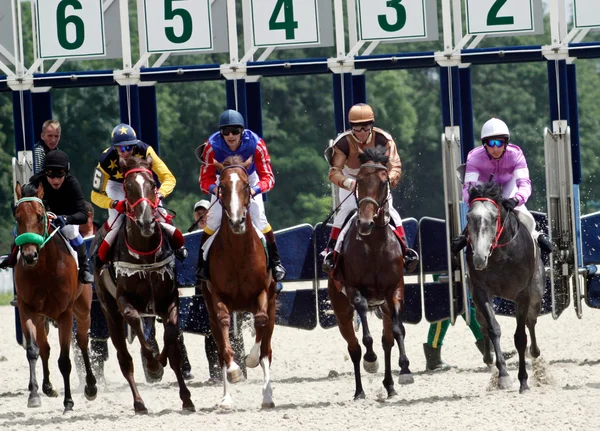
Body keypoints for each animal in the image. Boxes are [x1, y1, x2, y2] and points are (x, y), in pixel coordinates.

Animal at [13, 183, 96, 416]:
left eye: (40, 217)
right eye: (17, 217)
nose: (29, 255)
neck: (42, 268)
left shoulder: (65, 314)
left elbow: (65, 360)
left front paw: (68, 403)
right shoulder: (27, 310)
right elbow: (33, 351)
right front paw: (34, 396)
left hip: (82, 310)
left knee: (83, 342)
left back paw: (91, 387)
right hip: (42, 318)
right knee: (45, 348)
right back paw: (47, 387)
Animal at [93, 156, 195, 416]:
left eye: (151, 183)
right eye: (128, 186)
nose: (147, 221)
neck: (146, 253)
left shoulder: (169, 300)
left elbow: (172, 342)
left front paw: (186, 398)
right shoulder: (125, 303)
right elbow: (137, 326)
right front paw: (152, 365)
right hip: (110, 313)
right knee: (124, 359)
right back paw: (139, 402)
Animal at [202, 154, 276, 408]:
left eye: (245, 185)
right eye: (222, 186)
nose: (236, 221)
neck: (238, 252)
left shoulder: (263, 293)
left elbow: (261, 323)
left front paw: (250, 359)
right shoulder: (217, 297)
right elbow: (225, 330)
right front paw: (235, 369)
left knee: (267, 350)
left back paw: (267, 396)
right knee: (220, 351)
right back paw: (226, 398)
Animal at [328, 148, 412, 402]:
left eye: (384, 182)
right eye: (359, 182)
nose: (365, 222)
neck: (374, 244)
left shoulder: (394, 291)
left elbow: (398, 331)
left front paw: (405, 370)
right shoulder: (354, 289)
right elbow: (364, 330)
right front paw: (371, 359)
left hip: (383, 307)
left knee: (387, 342)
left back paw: (390, 385)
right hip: (341, 311)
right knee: (354, 348)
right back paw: (359, 390)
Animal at [466, 182, 548, 394]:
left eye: (495, 218)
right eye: (469, 217)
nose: (479, 258)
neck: (501, 255)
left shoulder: (523, 294)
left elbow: (520, 336)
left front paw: (524, 381)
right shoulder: (481, 291)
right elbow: (493, 328)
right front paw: (503, 376)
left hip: (536, 295)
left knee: (531, 322)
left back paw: (534, 353)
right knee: (482, 323)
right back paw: (488, 357)